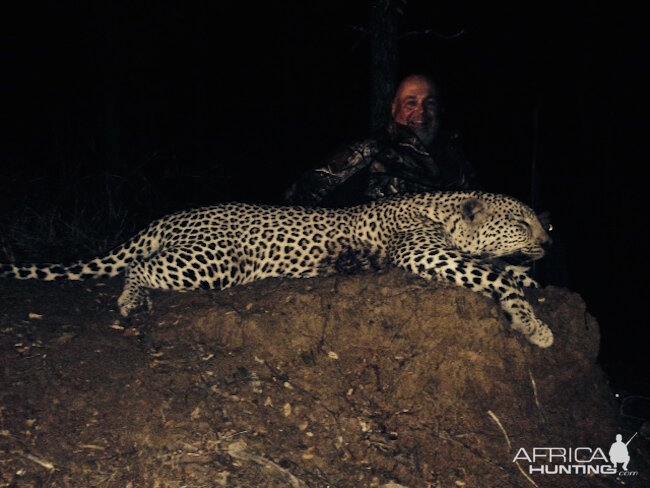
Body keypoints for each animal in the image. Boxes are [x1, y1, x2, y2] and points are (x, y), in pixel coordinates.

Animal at [0, 191, 552, 346]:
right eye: (521, 222)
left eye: (538, 221)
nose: (549, 241)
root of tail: (168, 216)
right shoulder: (425, 254)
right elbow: (495, 276)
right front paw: (532, 323)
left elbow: (505, 271)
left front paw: (529, 281)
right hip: (212, 262)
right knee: (136, 267)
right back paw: (132, 302)